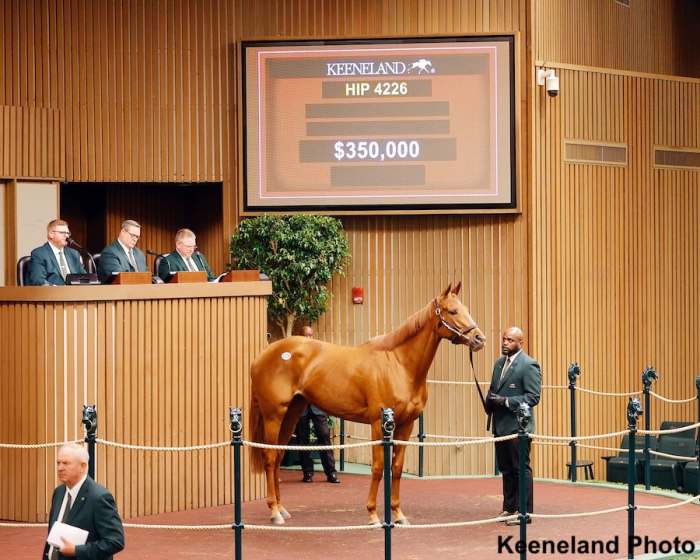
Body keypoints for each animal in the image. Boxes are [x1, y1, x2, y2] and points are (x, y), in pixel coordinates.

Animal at [248, 283, 486, 525]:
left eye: (466, 309)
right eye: (453, 311)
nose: (479, 339)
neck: (399, 364)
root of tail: (262, 356)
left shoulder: (406, 425)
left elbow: (396, 468)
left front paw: (398, 515)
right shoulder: (377, 424)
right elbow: (379, 467)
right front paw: (372, 515)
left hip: (292, 414)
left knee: (278, 455)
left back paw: (281, 508)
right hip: (273, 415)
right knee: (269, 457)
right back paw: (274, 512)